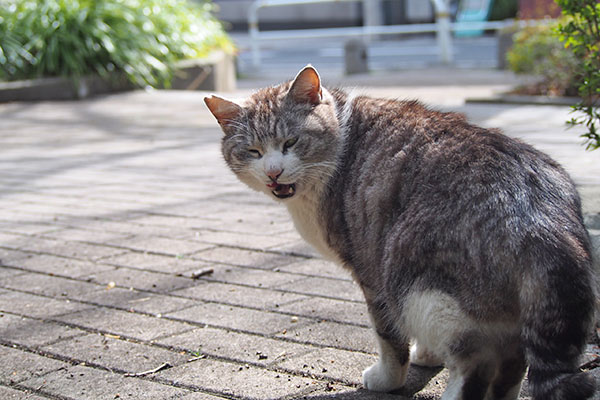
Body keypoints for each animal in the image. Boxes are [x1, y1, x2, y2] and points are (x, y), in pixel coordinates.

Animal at [205, 66, 596, 400]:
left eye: (290, 142)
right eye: (253, 151)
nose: (273, 173)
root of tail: (540, 216)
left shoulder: (372, 274)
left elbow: (389, 339)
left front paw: (386, 379)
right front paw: (428, 355)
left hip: (415, 283)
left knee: (476, 366)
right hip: (500, 316)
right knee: (511, 367)